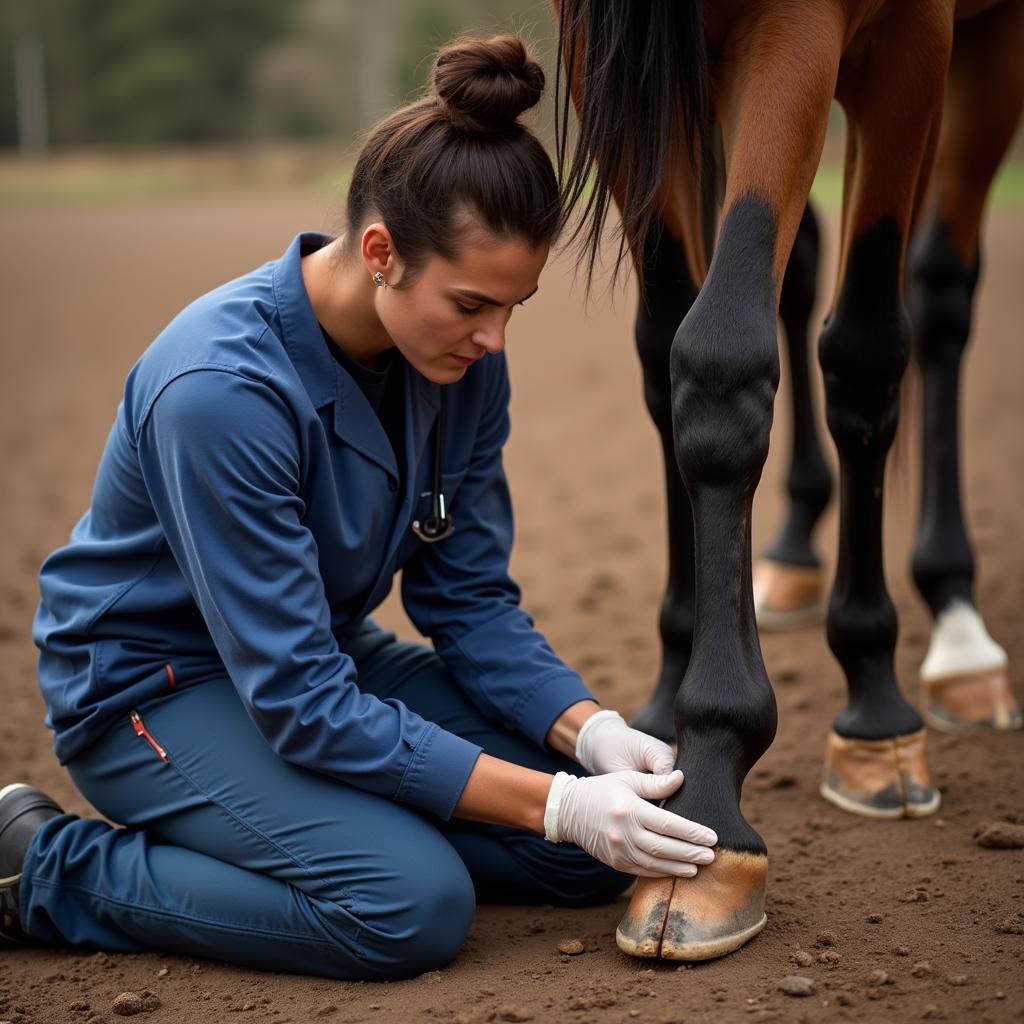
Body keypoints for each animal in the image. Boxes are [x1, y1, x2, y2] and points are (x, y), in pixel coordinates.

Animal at [552, 0, 1024, 958]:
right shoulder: (609, 58)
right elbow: (671, 352)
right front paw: (676, 705)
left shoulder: (880, 39)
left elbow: (815, 355)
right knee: (808, 273)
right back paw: (797, 554)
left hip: (984, 51)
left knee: (937, 295)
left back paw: (957, 633)